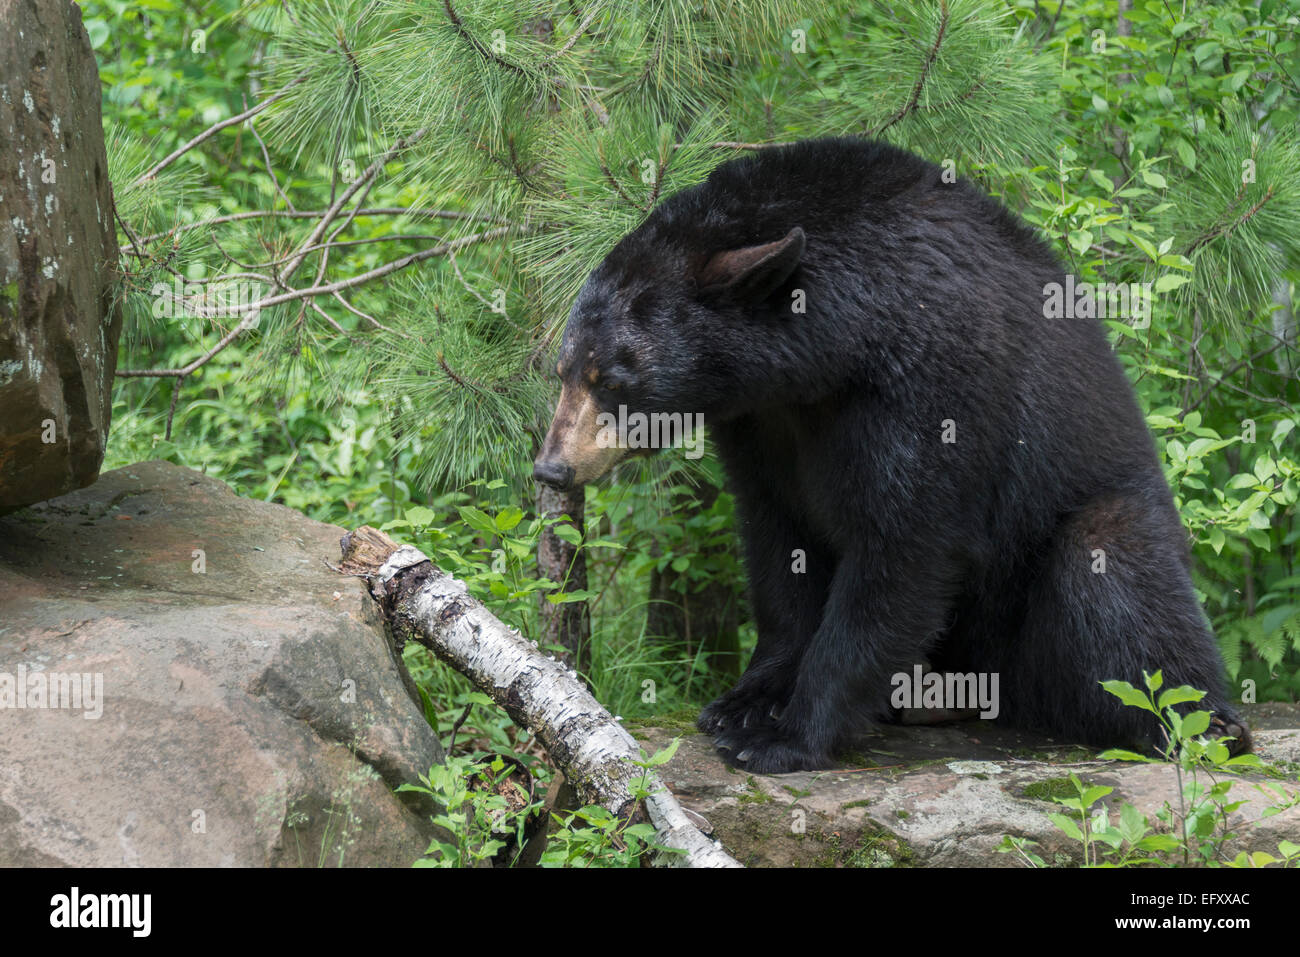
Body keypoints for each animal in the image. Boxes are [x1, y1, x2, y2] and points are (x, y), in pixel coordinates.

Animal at [530, 134, 1248, 774]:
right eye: (562, 369)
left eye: (610, 380)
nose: (552, 467)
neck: (833, 353)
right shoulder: (759, 424)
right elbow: (779, 542)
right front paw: (745, 699)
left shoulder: (931, 383)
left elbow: (900, 549)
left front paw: (786, 735)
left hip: (1093, 536)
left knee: (1114, 577)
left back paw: (1205, 723)